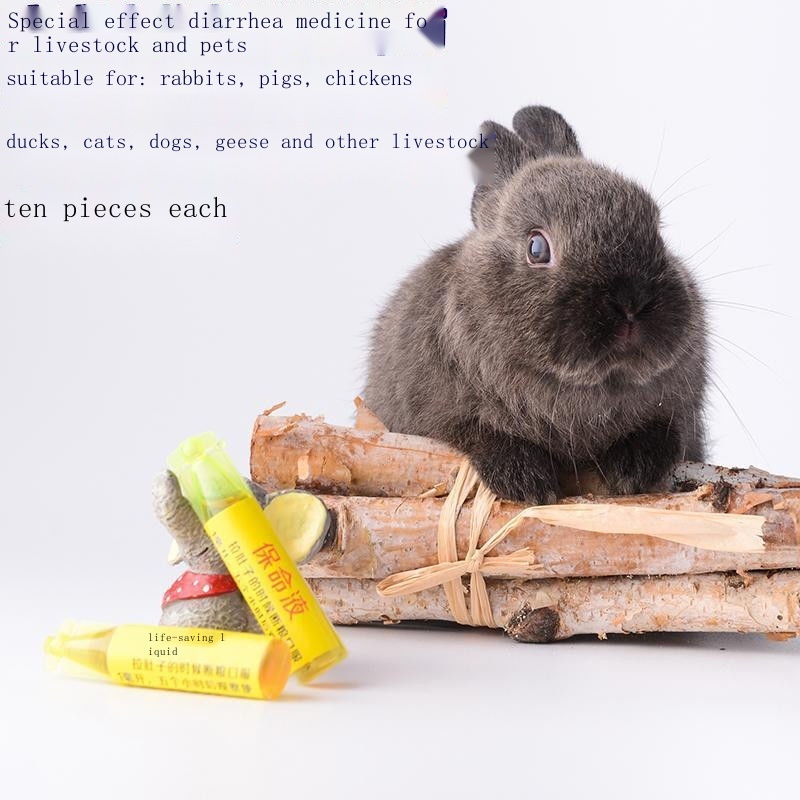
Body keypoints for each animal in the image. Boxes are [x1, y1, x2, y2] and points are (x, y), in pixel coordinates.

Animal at [364, 106, 708, 504]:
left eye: (657, 230)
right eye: (537, 248)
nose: (631, 302)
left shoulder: (678, 413)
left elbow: (661, 431)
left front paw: (633, 470)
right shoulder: (441, 417)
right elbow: (481, 434)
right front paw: (527, 484)